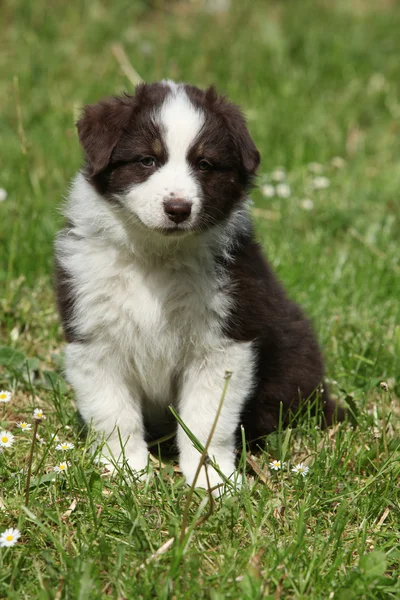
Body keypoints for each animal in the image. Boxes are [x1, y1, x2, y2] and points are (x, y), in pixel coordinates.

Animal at [54, 81, 344, 492]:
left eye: (204, 164)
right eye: (147, 161)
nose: (178, 208)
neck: (156, 258)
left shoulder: (223, 344)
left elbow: (206, 420)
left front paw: (211, 480)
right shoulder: (94, 336)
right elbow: (113, 414)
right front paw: (124, 470)